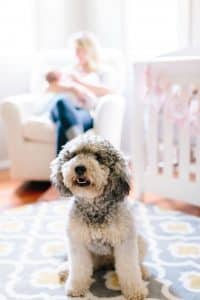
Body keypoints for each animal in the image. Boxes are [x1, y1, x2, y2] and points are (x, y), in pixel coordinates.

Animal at [51, 134, 148, 300]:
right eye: (74, 155)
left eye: (98, 157)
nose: (80, 168)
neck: (94, 207)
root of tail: (105, 262)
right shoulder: (77, 242)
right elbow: (79, 268)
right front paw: (76, 287)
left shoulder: (125, 242)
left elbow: (129, 268)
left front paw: (135, 290)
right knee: (89, 266)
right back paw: (65, 269)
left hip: (140, 241)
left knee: (136, 263)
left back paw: (142, 271)